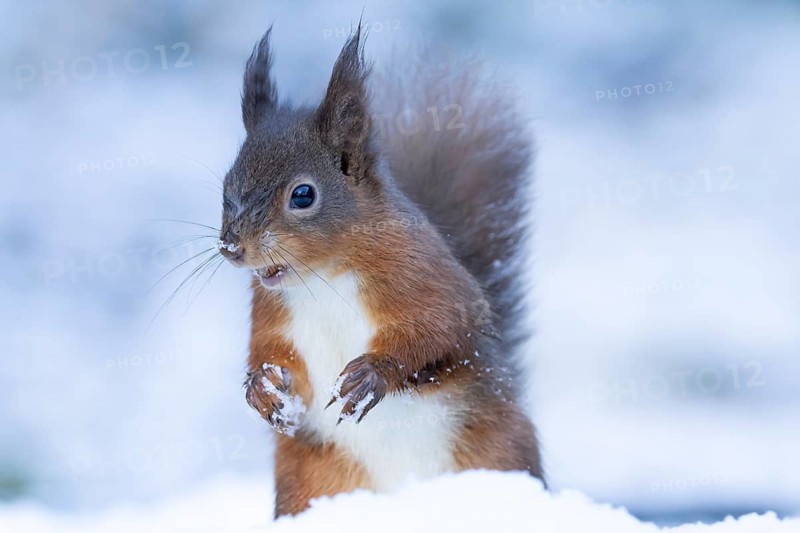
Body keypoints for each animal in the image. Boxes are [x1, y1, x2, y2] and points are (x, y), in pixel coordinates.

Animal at [217, 25, 544, 517]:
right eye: (226, 189)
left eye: (303, 195)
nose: (231, 248)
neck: (323, 277)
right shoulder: (273, 312)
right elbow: (270, 351)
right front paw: (262, 388)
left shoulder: (425, 276)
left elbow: (441, 330)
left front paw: (373, 374)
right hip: (306, 482)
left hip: (499, 449)